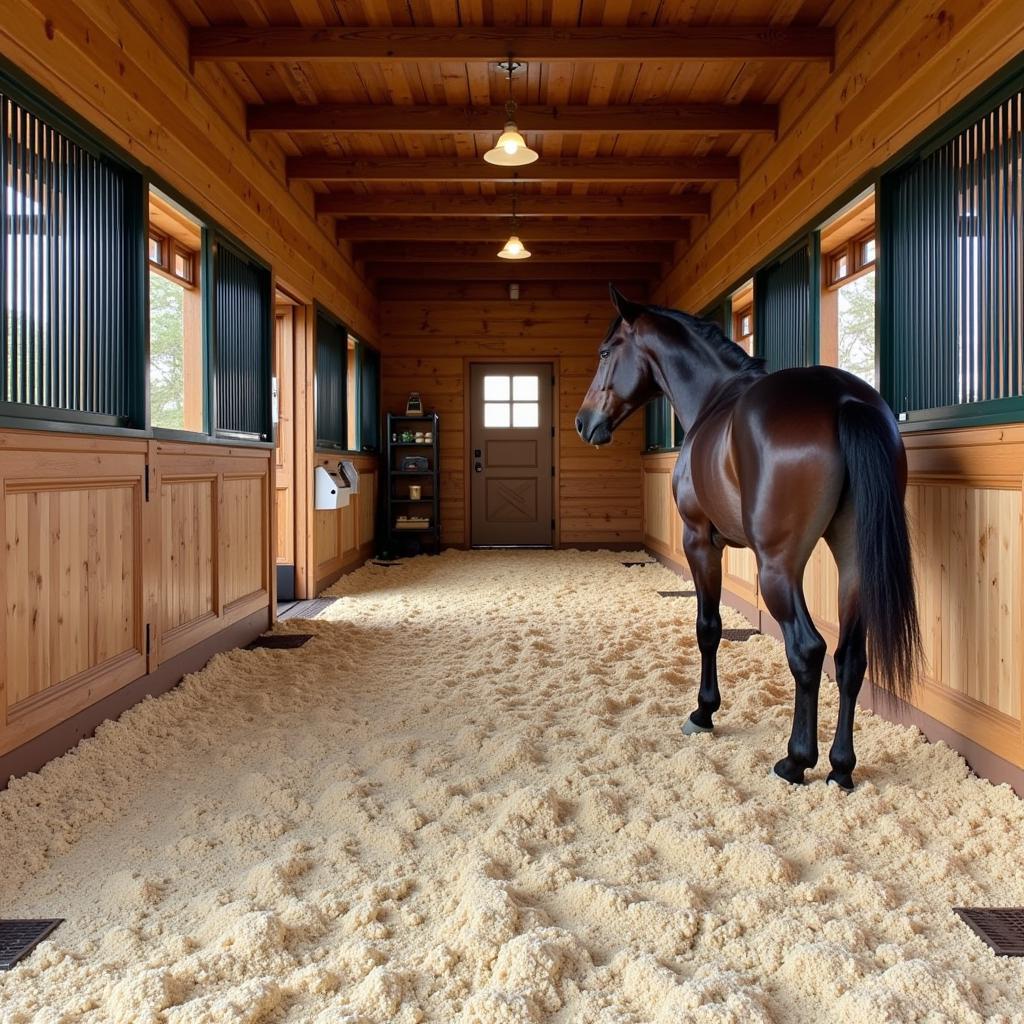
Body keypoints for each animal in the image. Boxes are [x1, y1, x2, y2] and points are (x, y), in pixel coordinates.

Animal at [581, 284, 925, 786]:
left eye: (606, 352)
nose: (584, 422)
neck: (713, 399)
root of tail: (842, 399)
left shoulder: (699, 541)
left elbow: (708, 627)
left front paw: (704, 713)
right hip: (853, 560)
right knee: (849, 658)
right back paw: (841, 768)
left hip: (778, 566)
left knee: (807, 649)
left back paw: (795, 761)